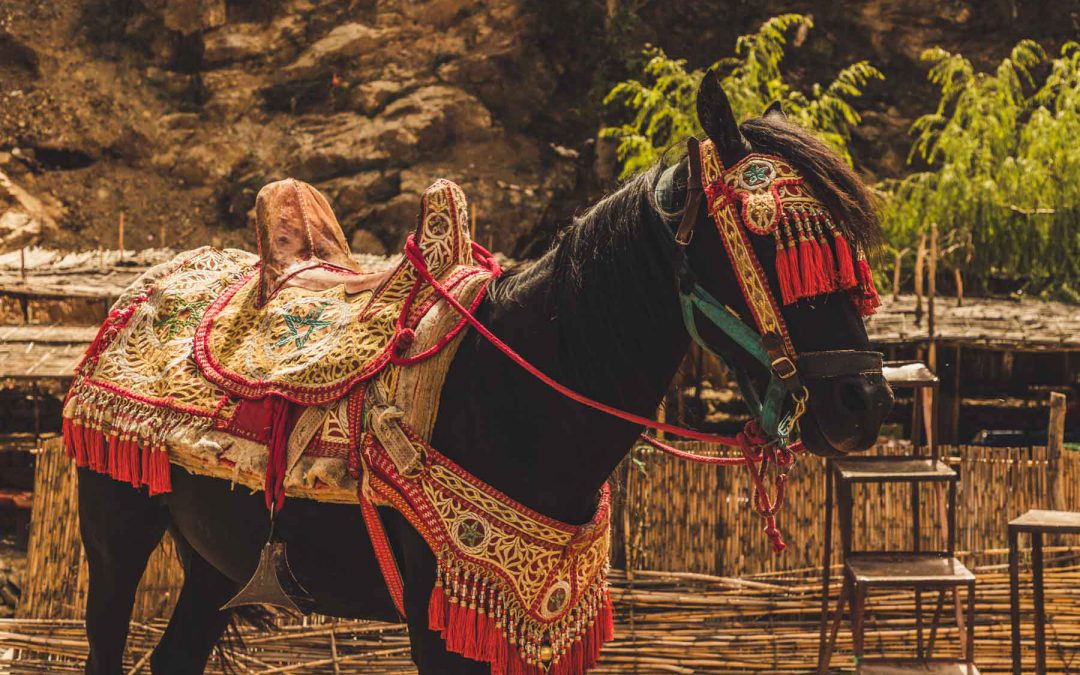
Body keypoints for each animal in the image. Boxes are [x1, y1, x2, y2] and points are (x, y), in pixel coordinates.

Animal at [75, 74, 893, 674]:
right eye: (773, 238)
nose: (864, 402)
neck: (519, 398)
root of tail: (147, 282)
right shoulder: (443, 621)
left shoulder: (538, 617)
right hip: (115, 535)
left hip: (215, 562)